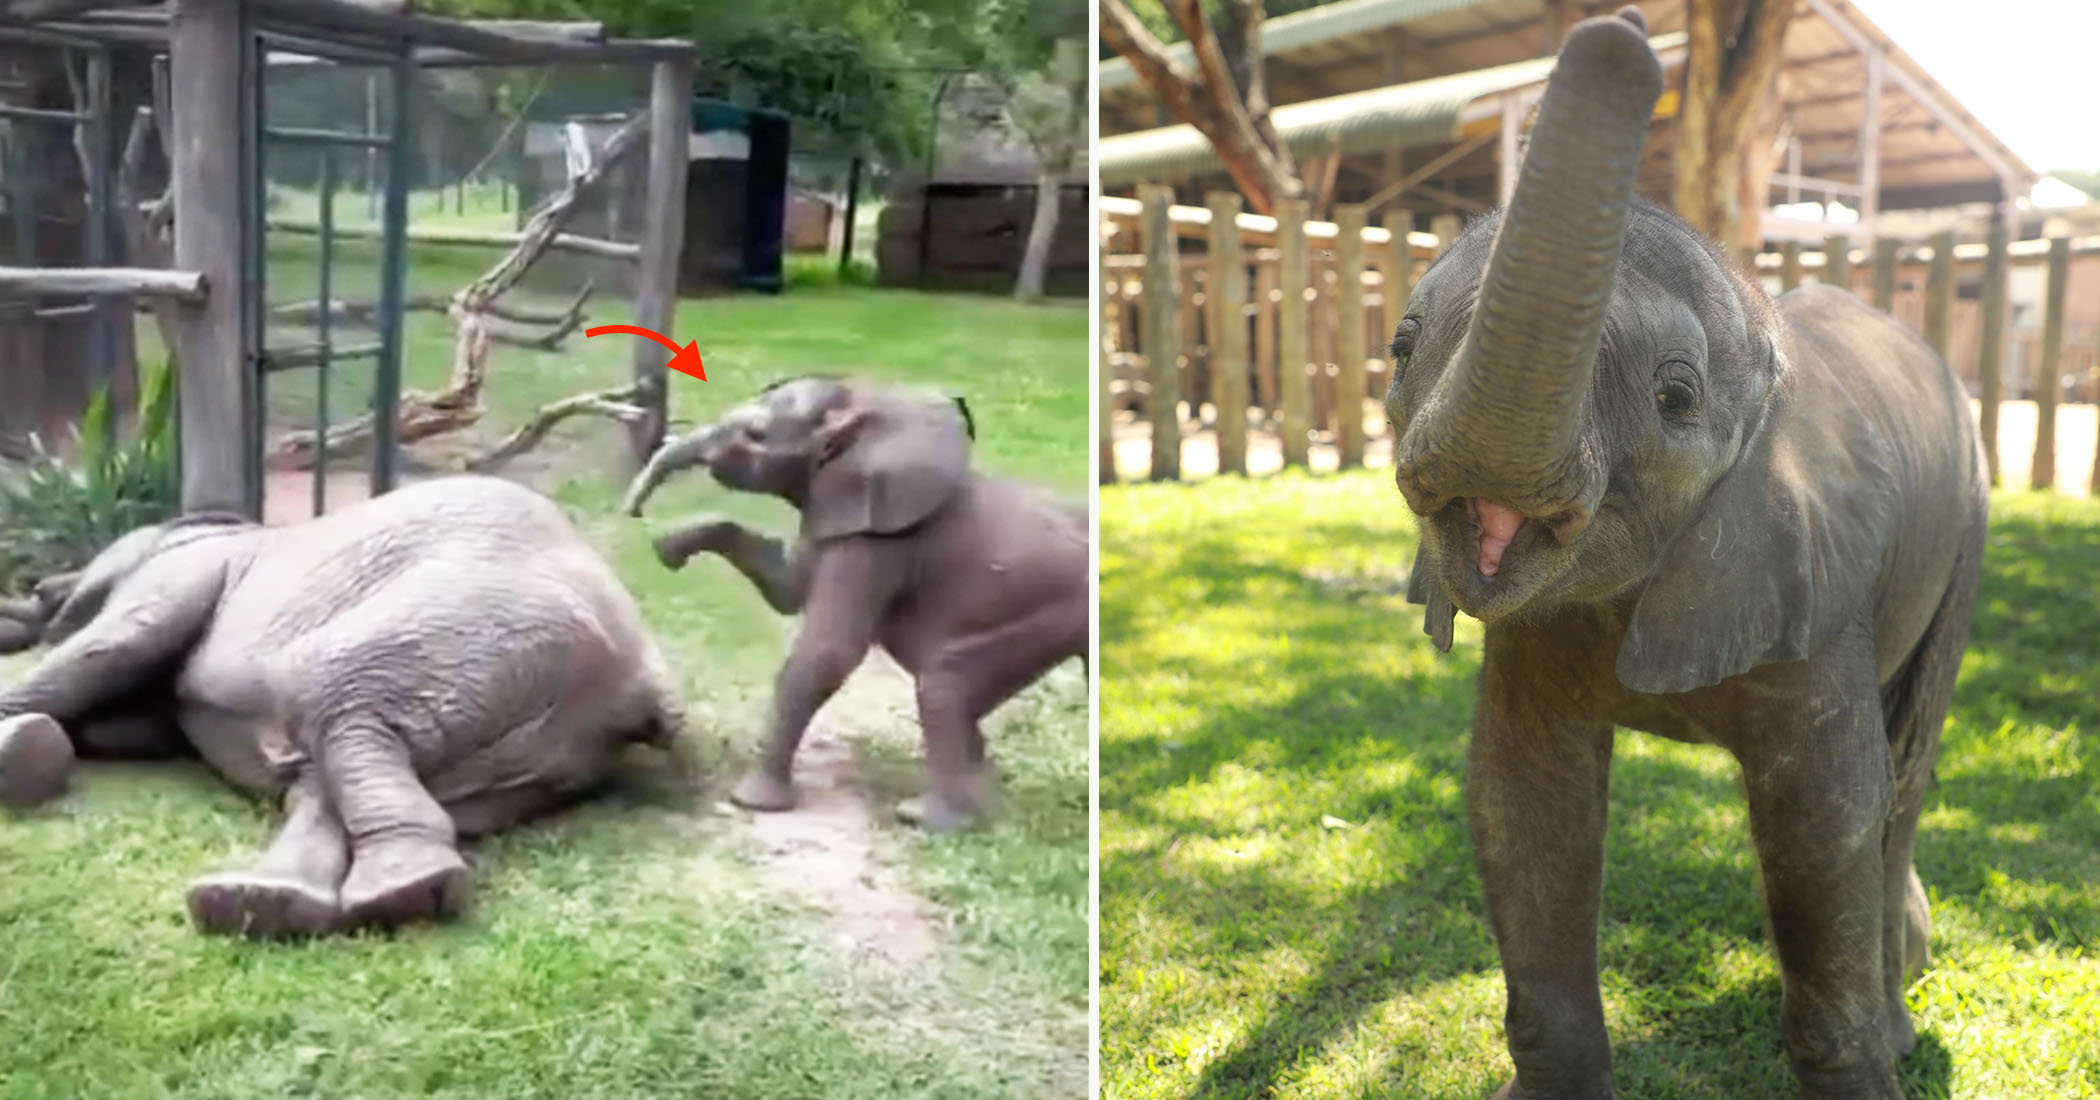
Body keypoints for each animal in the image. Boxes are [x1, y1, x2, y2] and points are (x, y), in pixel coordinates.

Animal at [0, 474, 684, 936]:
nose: (40, 586)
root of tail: (641, 679)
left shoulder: (186, 570)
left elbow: (113, 644)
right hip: (537, 747)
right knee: (322, 767)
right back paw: (260, 903)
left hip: (476, 628)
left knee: (340, 701)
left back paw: (399, 890)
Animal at [621, 373, 1092, 831]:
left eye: (755, 435)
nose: (632, 511)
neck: (863, 405)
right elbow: (787, 588)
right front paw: (669, 547)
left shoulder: (876, 540)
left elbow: (828, 651)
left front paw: (751, 803)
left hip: (1044, 616)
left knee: (942, 686)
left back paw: (927, 818)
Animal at [1385, 8, 1990, 1100]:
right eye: (1402, 351)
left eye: (1675, 396)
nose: (1625, 28)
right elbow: (1521, 794)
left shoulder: (1814, 582)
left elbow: (1826, 810)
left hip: (1967, 524)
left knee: (1908, 764)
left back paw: (1902, 1008)